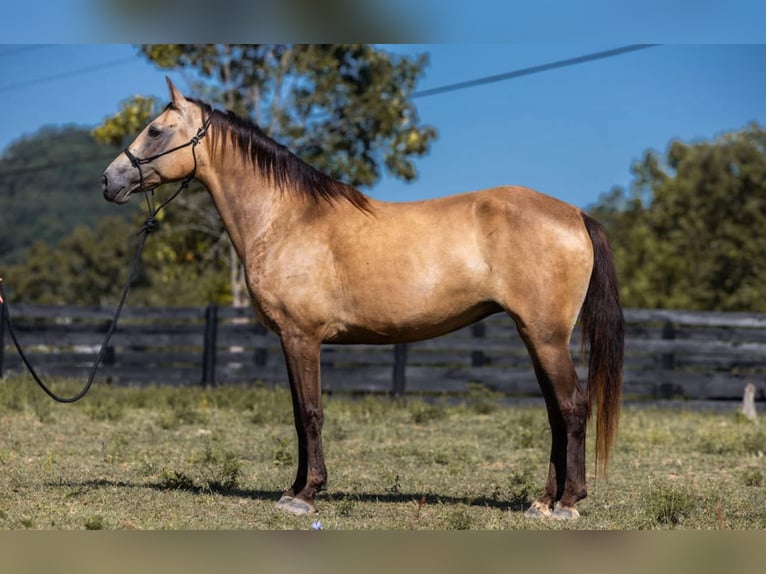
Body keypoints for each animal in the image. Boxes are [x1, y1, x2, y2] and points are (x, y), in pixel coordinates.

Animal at [102, 77, 624, 520]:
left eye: (155, 130)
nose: (109, 181)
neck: (286, 218)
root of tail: (576, 215)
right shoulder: (291, 341)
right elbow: (299, 416)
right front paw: (293, 490)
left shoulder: (302, 337)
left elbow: (310, 413)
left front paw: (307, 495)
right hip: (536, 337)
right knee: (556, 411)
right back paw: (543, 501)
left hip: (546, 336)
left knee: (573, 407)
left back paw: (567, 503)